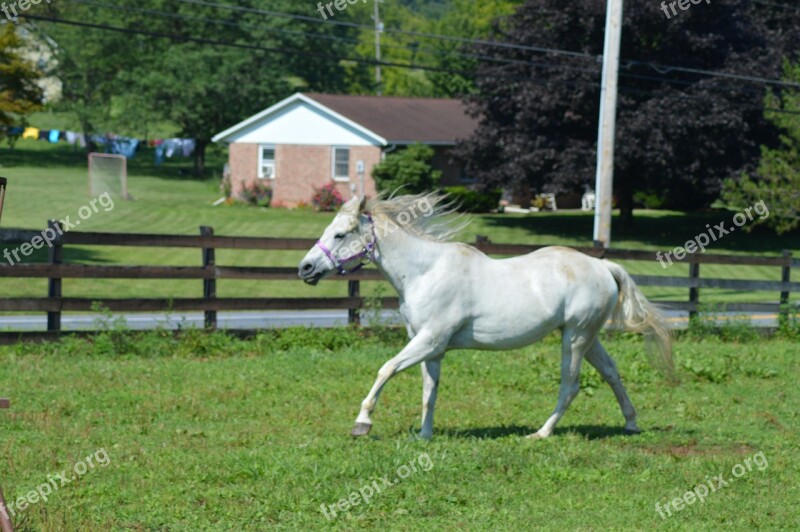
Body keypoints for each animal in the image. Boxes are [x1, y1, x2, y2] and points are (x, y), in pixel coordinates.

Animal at [296, 193, 672, 438]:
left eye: (340, 234)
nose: (305, 268)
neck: (425, 272)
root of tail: (603, 266)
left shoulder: (430, 340)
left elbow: (386, 369)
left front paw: (362, 423)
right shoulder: (431, 347)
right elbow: (429, 389)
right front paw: (425, 435)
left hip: (576, 338)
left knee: (571, 385)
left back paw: (540, 433)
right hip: (587, 337)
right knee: (611, 372)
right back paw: (631, 423)